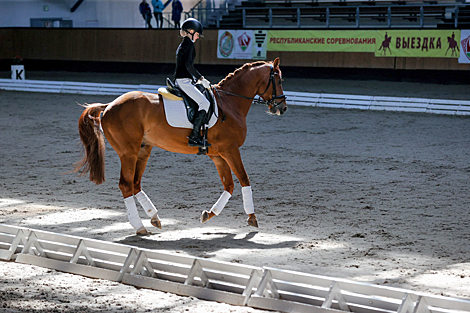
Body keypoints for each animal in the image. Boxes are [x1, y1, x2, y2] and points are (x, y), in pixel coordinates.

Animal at [74, 58, 286, 234]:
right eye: (279, 80)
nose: (282, 108)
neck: (230, 103)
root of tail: (109, 105)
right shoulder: (230, 150)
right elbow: (244, 179)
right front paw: (252, 217)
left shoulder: (217, 154)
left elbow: (230, 185)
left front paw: (209, 214)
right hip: (128, 152)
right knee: (126, 185)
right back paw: (140, 227)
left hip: (143, 149)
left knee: (135, 184)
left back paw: (154, 217)